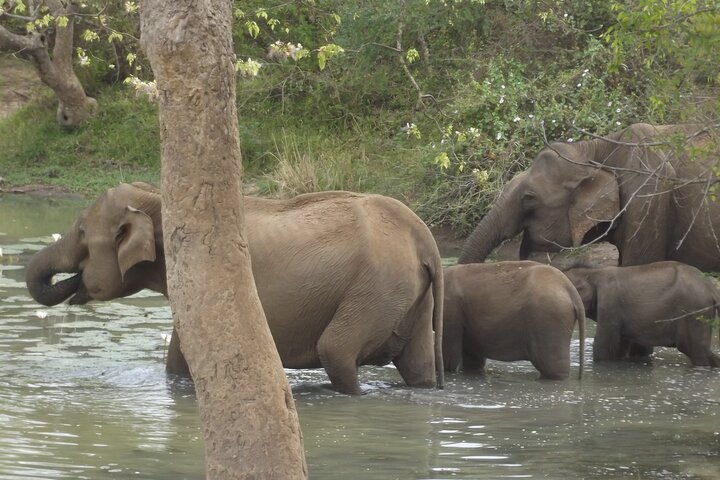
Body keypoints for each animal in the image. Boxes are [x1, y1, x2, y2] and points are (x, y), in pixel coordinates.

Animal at [25, 182, 444, 395]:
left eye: (82, 233)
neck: (156, 199)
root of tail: (425, 239)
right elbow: (178, 362)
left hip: (377, 288)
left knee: (336, 351)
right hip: (409, 297)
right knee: (418, 365)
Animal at [443, 261, 585, 379]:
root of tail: (571, 290)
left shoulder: (449, 312)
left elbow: (448, 361)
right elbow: (472, 361)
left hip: (549, 319)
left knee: (552, 368)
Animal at [563, 261, 720, 367]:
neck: (593, 273)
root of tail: (711, 288)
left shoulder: (610, 304)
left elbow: (605, 345)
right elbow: (621, 346)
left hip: (694, 312)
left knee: (696, 351)